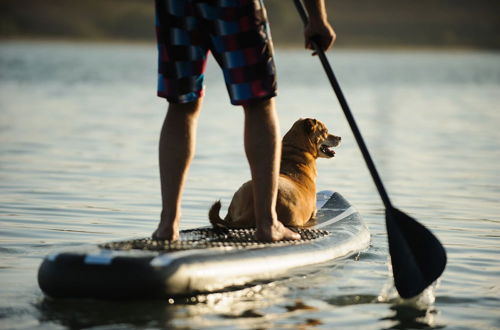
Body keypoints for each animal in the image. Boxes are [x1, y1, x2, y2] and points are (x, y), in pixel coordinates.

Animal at [207, 118, 340, 229]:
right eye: (325, 131)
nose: (340, 137)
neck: (296, 150)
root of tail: (253, 208)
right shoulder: (313, 212)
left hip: (241, 190)